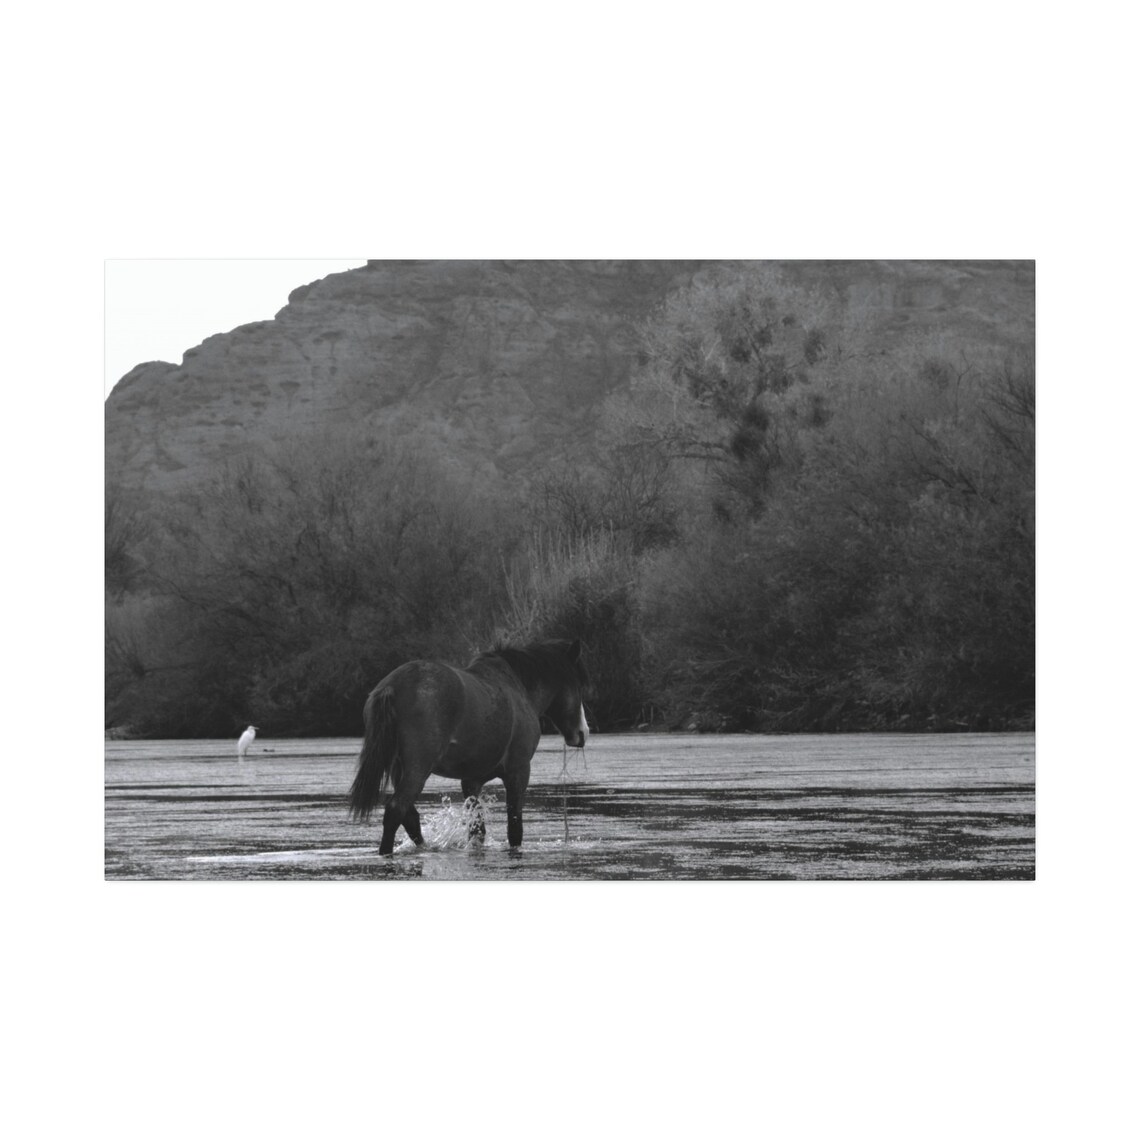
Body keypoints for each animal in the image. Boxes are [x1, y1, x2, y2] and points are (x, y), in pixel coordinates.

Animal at [348, 638, 589, 854]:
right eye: (579, 685)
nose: (582, 733)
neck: (519, 688)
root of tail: (392, 686)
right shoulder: (518, 771)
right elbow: (514, 829)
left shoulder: (472, 780)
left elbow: (477, 831)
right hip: (417, 769)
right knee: (396, 810)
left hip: (398, 768)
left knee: (410, 817)